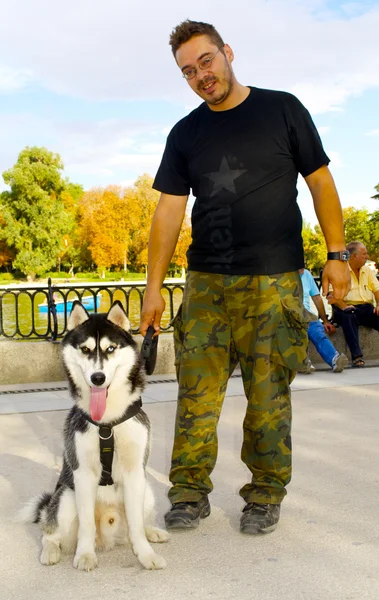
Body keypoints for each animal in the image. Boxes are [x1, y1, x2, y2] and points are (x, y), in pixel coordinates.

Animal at [20, 302, 168, 568]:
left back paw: (153, 532)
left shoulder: (135, 472)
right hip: (66, 498)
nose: (97, 378)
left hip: (147, 491)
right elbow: (86, 525)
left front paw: (146, 555)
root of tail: (108, 539)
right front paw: (85, 554)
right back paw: (51, 551)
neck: (107, 423)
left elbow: (137, 526)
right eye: (85, 349)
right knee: (50, 532)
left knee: (138, 524)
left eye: (110, 348)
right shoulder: (83, 475)